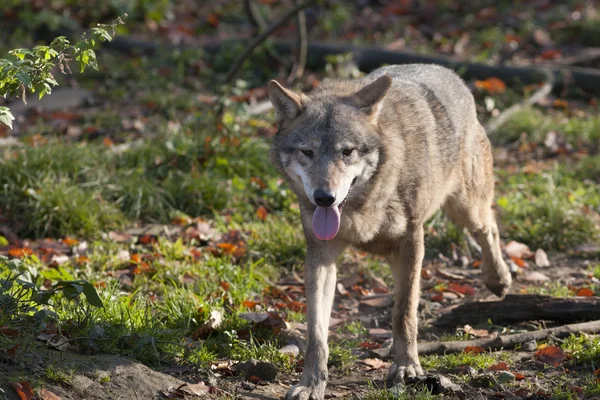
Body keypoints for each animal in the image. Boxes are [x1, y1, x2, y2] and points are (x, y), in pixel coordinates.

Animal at [268, 64, 510, 398]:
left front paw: (408, 368)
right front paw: (311, 384)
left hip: (466, 209)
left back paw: (498, 279)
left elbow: (404, 313)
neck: (362, 205)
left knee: (490, 228)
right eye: (307, 152)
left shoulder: (412, 242)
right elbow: (316, 332)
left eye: (347, 152)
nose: (324, 198)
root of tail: (448, 72)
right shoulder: (320, 255)